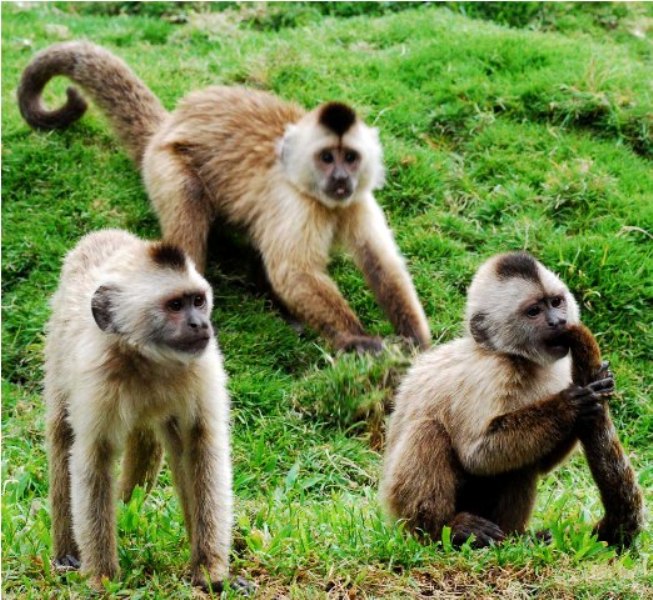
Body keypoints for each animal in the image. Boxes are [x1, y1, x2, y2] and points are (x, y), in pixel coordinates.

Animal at [43, 229, 247, 592]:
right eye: (175, 305)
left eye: (198, 301)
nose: (200, 324)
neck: (150, 360)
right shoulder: (98, 375)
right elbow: (93, 457)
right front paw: (102, 578)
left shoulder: (202, 365)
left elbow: (202, 447)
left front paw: (210, 570)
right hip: (59, 345)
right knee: (61, 434)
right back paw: (67, 555)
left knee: (162, 442)